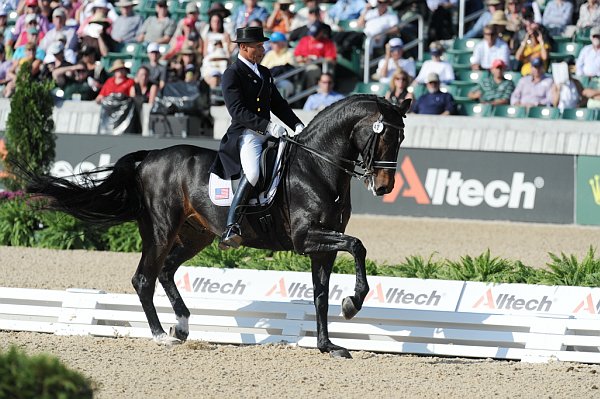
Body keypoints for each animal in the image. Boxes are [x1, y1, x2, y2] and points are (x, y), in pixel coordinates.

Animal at [23, 94, 410, 360]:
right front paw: (353, 304)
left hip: (196, 235)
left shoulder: (321, 247)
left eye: (401, 138)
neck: (317, 167)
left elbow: (320, 294)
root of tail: (149, 157)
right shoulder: (306, 239)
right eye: (383, 136)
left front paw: (328, 344)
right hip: (161, 229)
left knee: (165, 271)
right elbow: (357, 245)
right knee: (144, 278)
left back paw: (182, 325)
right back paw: (162, 335)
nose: (385, 187)